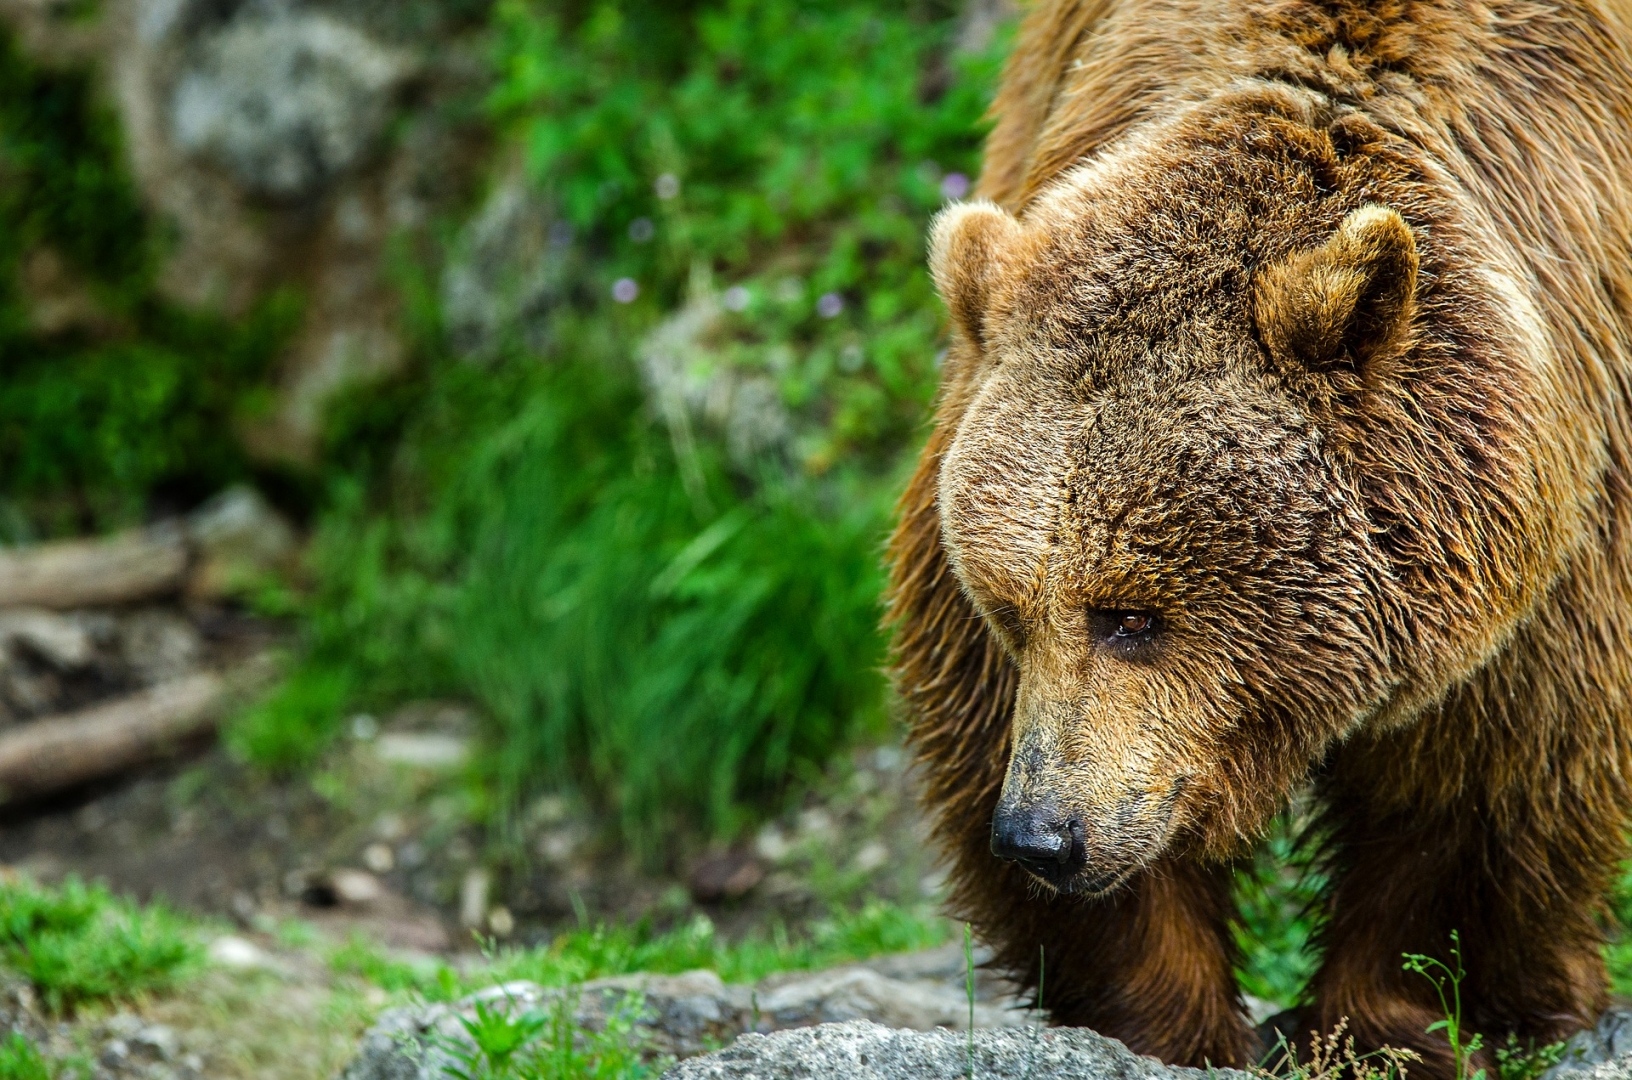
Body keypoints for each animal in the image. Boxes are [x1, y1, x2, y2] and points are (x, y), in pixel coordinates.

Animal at [887, 0, 1632, 1076]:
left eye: (1132, 616)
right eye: (1010, 611)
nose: (1041, 837)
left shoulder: (1559, 537)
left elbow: (1486, 785)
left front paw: (1397, 1021)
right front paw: (1169, 1018)